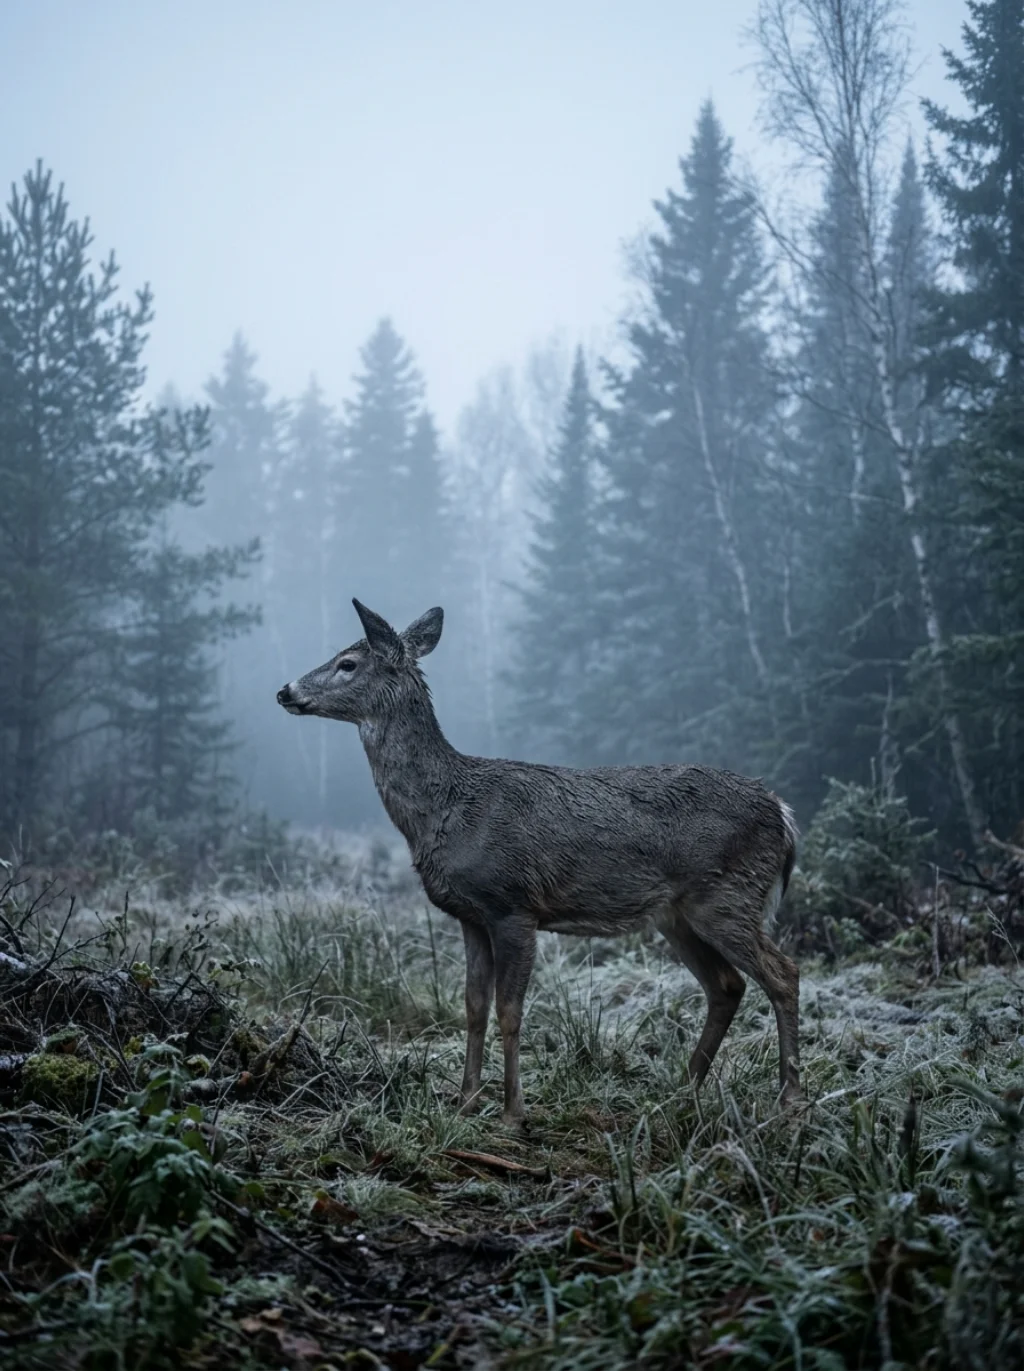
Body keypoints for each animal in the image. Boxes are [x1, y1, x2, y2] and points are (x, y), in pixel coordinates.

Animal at [277, 599, 801, 1126]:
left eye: (347, 663)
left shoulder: (513, 904)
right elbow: (473, 1007)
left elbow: (510, 1010)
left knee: (783, 974)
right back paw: (681, 1090)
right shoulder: (471, 916)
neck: (446, 811)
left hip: (728, 894)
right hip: (678, 915)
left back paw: (788, 1098)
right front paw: (466, 1102)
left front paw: (513, 1112)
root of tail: (783, 813)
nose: (285, 690)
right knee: (727, 985)